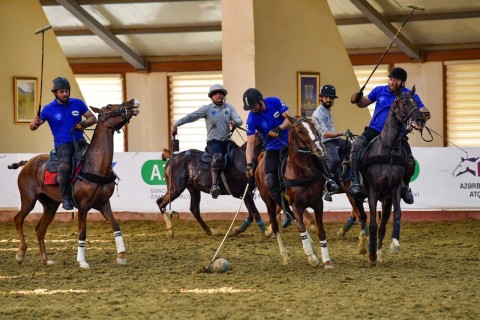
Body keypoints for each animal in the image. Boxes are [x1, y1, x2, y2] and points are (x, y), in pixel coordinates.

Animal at [8, 97, 141, 268]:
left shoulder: (104, 203)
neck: (95, 165)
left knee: (39, 229)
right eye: (110, 105)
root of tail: (27, 163)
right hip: (28, 199)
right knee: (18, 219)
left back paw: (45, 259)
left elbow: (116, 225)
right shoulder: (83, 206)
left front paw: (121, 256)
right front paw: (82, 261)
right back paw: (20, 254)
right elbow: (82, 232)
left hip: (50, 204)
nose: (133, 101)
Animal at [255, 114, 334, 268]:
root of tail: (261, 159)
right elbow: (300, 227)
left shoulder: (317, 203)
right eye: (299, 131)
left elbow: (320, 231)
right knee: (276, 226)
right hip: (269, 202)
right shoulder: (297, 205)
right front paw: (312, 258)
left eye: (314, 126)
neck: (302, 171)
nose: (319, 150)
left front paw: (326, 260)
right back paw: (285, 257)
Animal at [352, 87, 428, 264]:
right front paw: (371, 255)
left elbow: (397, 214)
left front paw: (393, 245)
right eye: (404, 102)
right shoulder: (373, 192)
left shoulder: (394, 190)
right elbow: (372, 223)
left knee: (382, 226)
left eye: (416, 102)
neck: (389, 148)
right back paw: (367, 248)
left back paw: (379, 254)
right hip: (357, 196)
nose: (420, 119)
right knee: (363, 217)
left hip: (386, 200)